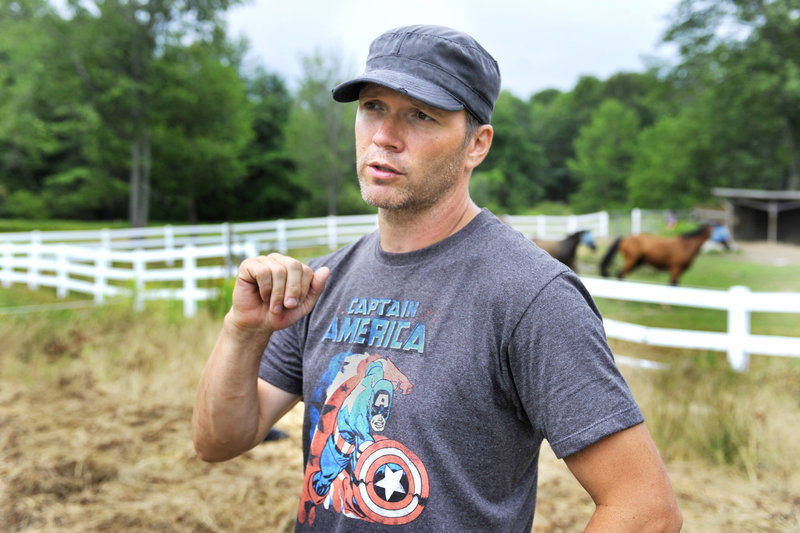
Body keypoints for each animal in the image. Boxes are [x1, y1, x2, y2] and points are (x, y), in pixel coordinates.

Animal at [600, 222, 732, 284]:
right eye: (722, 232)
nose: (729, 245)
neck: (686, 245)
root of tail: (625, 238)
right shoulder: (676, 268)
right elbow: (673, 284)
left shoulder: (679, 270)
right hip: (632, 260)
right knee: (620, 274)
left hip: (638, 262)